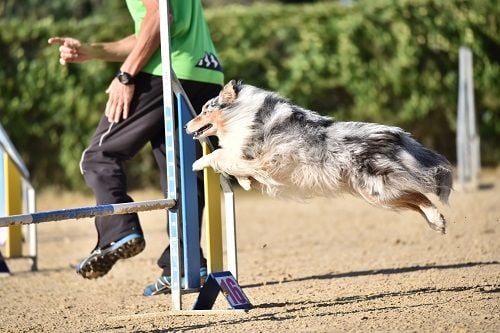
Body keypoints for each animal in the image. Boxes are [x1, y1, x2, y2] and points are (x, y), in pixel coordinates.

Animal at [187, 80, 454, 233]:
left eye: (204, 111)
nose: (187, 126)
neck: (240, 113)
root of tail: (395, 134)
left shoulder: (258, 158)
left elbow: (221, 154)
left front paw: (198, 163)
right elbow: (232, 163)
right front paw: (243, 182)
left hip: (379, 190)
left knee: (420, 196)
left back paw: (438, 220)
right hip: (376, 195)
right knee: (415, 199)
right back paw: (436, 223)